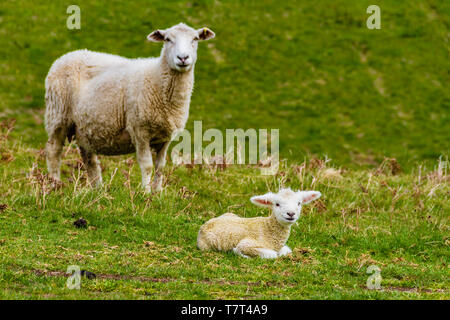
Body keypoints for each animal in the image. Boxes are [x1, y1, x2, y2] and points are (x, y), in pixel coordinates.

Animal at [44, 23, 214, 192]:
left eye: (195, 39)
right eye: (167, 39)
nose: (183, 58)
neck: (158, 78)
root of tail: (64, 57)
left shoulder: (165, 136)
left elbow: (160, 166)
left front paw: (158, 192)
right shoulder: (140, 130)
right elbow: (147, 165)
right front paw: (145, 192)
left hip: (83, 129)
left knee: (89, 159)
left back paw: (97, 188)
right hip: (58, 116)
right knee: (53, 151)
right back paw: (55, 185)